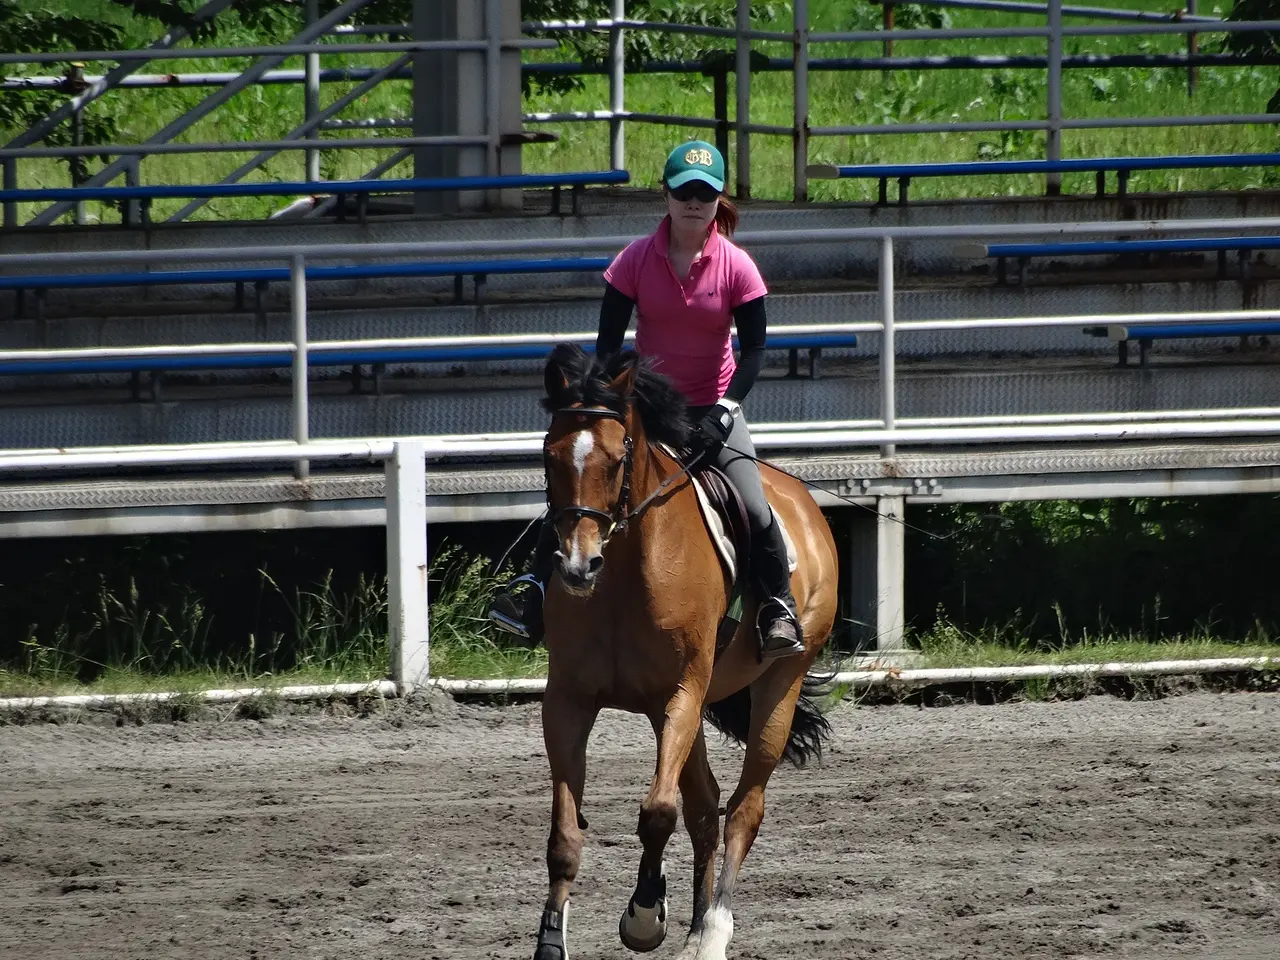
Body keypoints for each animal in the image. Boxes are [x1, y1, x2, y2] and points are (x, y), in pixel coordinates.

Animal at [527, 345, 839, 960]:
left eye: (617, 458)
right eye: (550, 456)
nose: (577, 567)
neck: (623, 574)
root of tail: (804, 504)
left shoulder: (681, 693)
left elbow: (657, 813)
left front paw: (645, 916)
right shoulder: (570, 701)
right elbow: (566, 834)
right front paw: (551, 941)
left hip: (778, 681)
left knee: (741, 807)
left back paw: (713, 930)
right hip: (675, 709)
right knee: (704, 807)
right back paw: (695, 927)